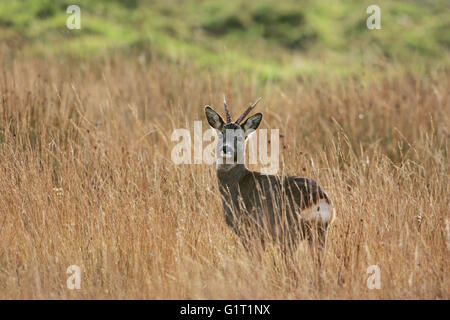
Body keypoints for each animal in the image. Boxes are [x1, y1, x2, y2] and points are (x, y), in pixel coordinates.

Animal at [206, 96, 336, 254]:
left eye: (240, 137)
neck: (237, 183)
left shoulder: (251, 231)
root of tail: (321, 200)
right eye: (221, 134)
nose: (226, 149)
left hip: (288, 233)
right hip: (319, 233)